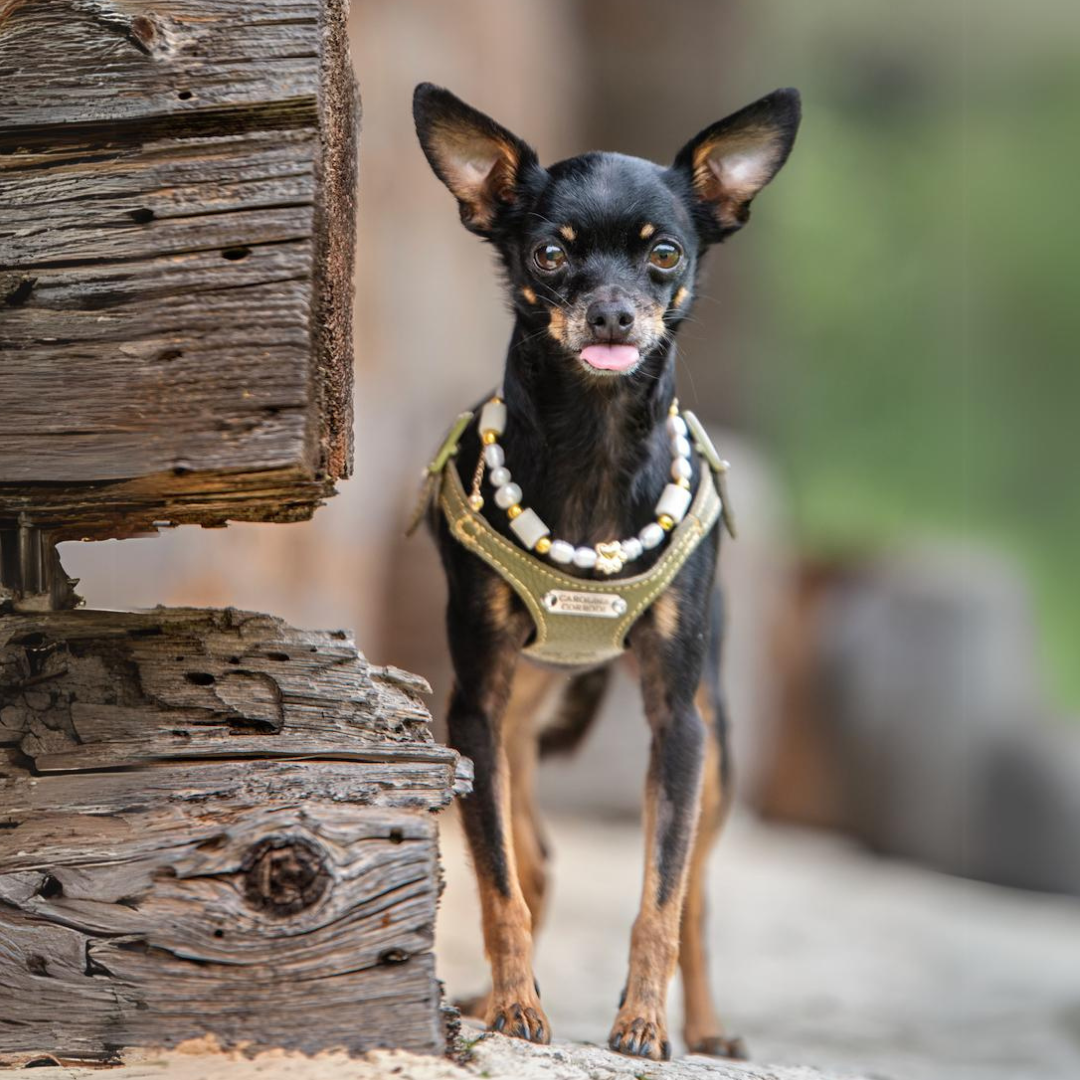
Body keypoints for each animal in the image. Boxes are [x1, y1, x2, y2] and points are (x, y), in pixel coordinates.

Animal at [412, 84, 803, 1062]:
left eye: (665, 255)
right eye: (549, 255)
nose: (615, 314)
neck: (592, 447)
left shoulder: (679, 724)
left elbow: (660, 897)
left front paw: (643, 1024)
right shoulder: (473, 710)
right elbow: (498, 885)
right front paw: (516, 1008)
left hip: (718, 742)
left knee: (694, 895)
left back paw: (705, 1027)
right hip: (513, 722)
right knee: (534, 860)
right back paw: (494, 995)